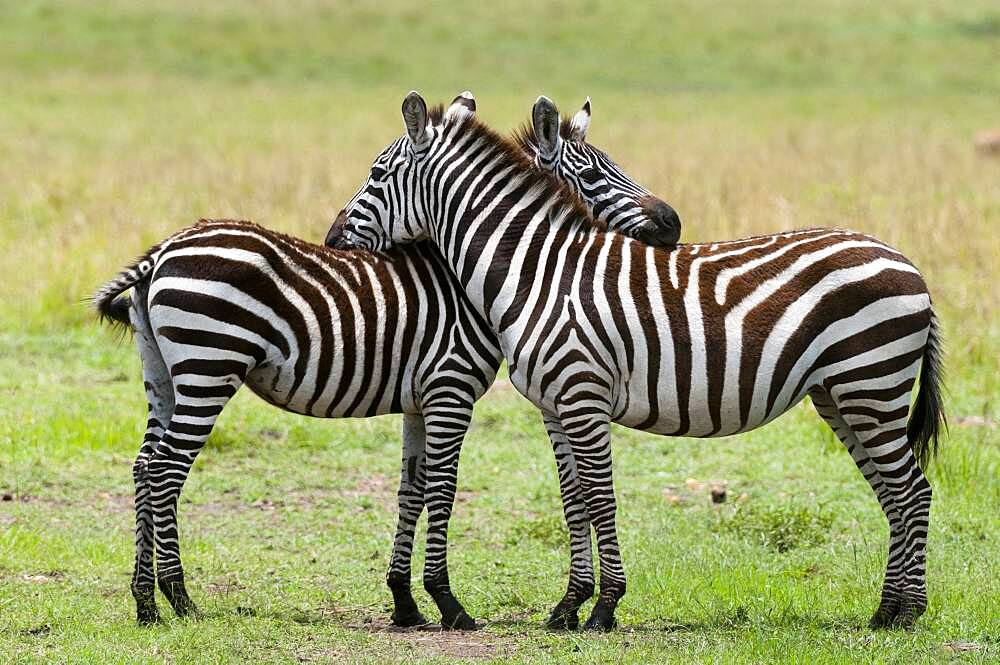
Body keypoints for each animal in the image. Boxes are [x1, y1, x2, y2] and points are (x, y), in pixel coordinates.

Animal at [92, 93, 680, 628]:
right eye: (594, 175)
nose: (672, 224)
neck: (467, 281)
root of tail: (163, 249)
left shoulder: (419, 401)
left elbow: (410, 491)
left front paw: (405, 604)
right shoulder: (450, 389)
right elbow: (443, 489)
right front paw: (448, 604)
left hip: (163, 375)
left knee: (144, 465)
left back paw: (145, 603)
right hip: (208, 367)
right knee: (167, 469)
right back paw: (180, 600)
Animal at [334, 91, 944, 632]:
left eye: (377, 173)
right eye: (595, 175)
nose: (333, 236)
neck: (540, 271)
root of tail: (907, 262)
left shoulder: (583, 396)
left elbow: (601, 500)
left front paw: (604, 609)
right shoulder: (555, 406)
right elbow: (574, 501)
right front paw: (568, 607)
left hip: (871, 385)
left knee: (912, 491)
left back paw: (906, 614)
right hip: (842, 396)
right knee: (893, 493)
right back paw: (886, 610)